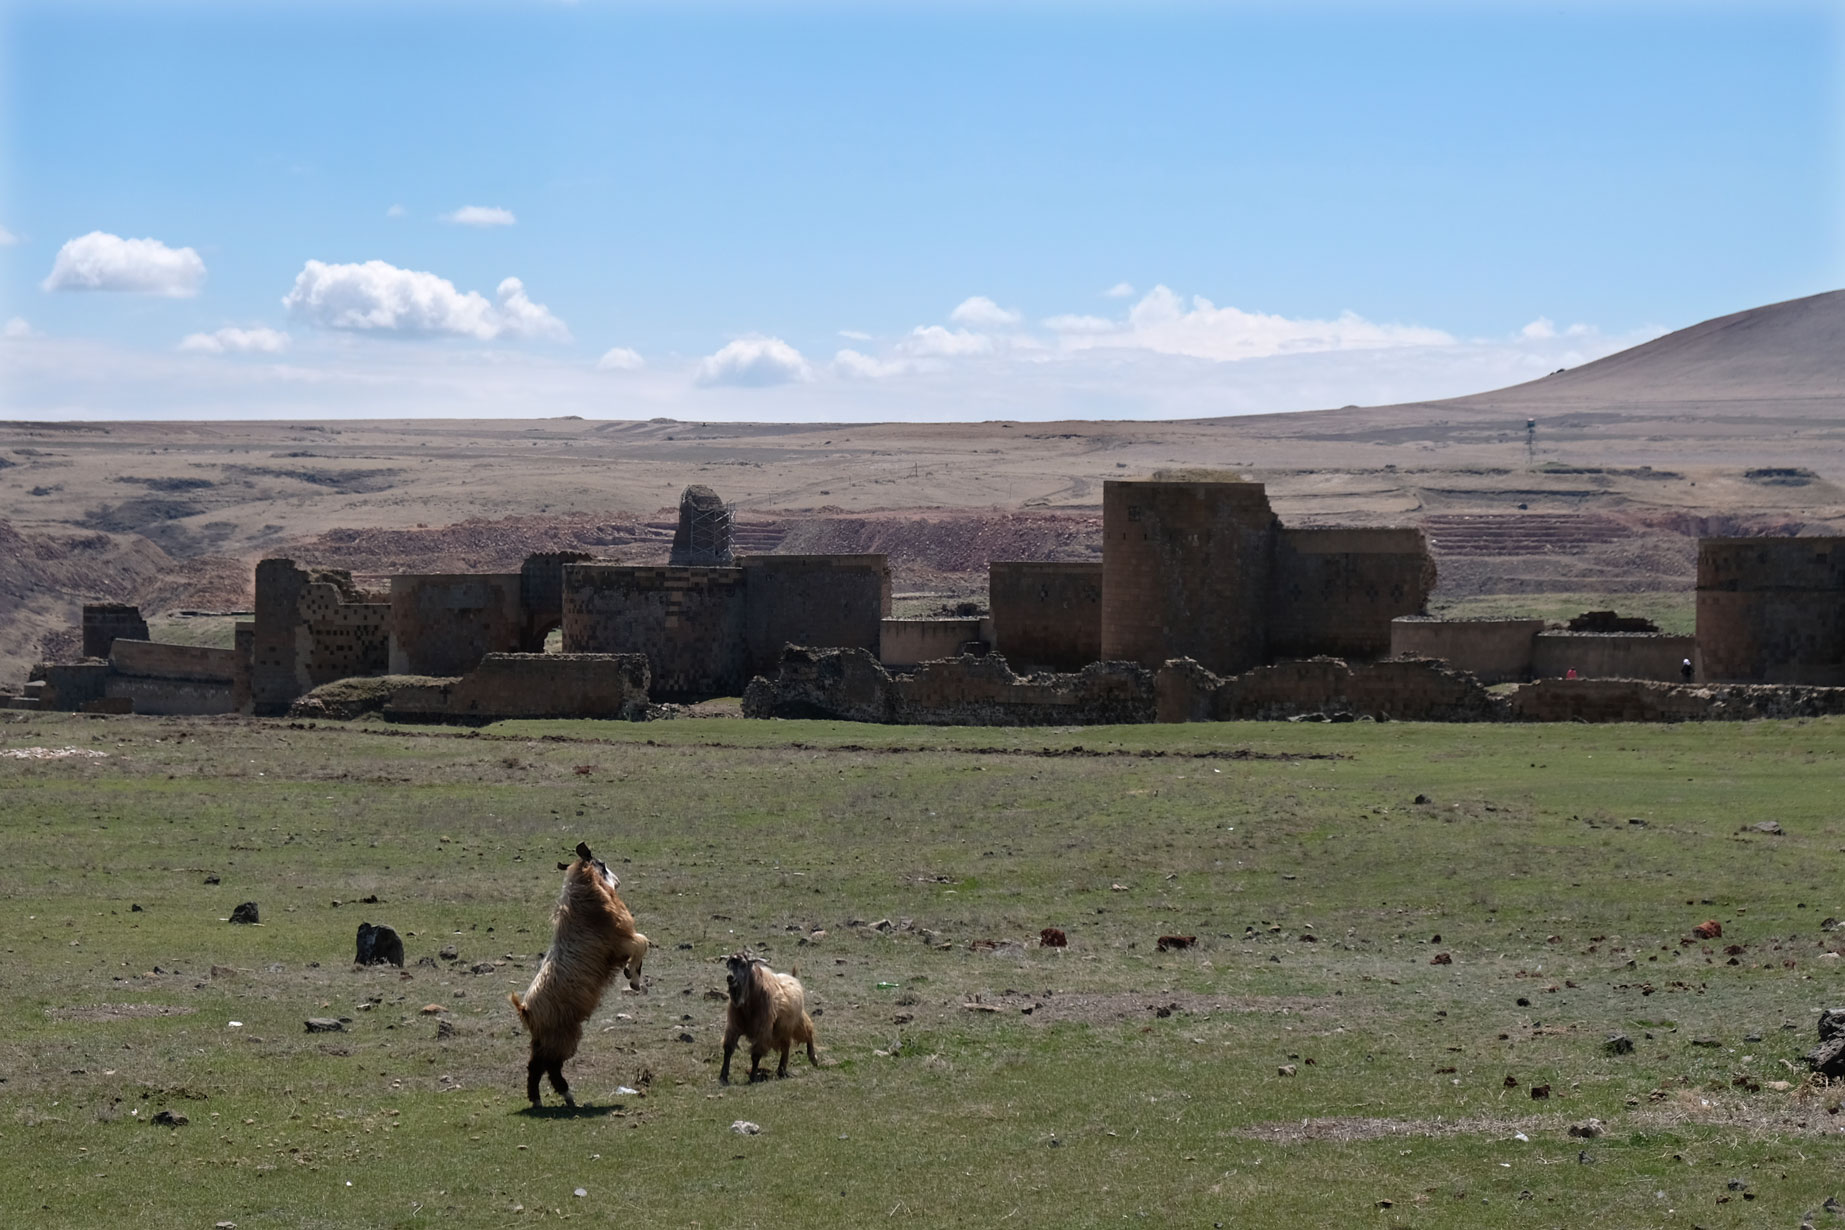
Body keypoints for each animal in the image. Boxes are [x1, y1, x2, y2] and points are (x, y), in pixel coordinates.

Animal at [505, 840, 649, 1113]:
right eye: (601, 864)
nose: (618, 882)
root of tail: (525, 1009)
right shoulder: (621, 941)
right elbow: (643, 943)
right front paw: (633, 978)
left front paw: (630, 975)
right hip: (562, 1035)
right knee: (549, 1066)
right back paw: (566, 1096)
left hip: (544, 1039)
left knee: (534, 1065)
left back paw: (539, 1099)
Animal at [715, 951, 819, 1084]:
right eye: (727, 964)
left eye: (743, 964)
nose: (730, 978)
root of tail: (793, 978)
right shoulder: (734, 1026)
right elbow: (728, 1049)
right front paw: (723, 1077)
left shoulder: (763, 1029)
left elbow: (756, 1055)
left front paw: (752, 1077)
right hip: (783, 1029)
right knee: (786, 1046)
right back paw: (781, 1070)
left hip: (797, 1021)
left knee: (808, 1032)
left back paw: (813, 1058)